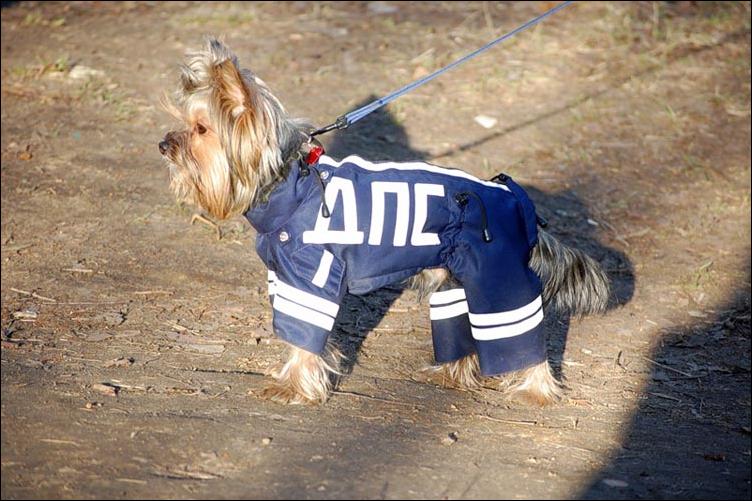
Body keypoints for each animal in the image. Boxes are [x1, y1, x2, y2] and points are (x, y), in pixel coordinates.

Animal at [160, 39, 612, 406]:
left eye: (201, 129)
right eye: (183, 123)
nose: (164, 144)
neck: (288, 181)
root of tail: (516, 201)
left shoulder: (310, 278)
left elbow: (303, 334)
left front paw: (291, 387)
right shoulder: (284, 276)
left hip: (499, 279)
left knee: (519, 332)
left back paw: (535, 391)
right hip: (456, 281)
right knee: (459, 324)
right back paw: (452, 374)